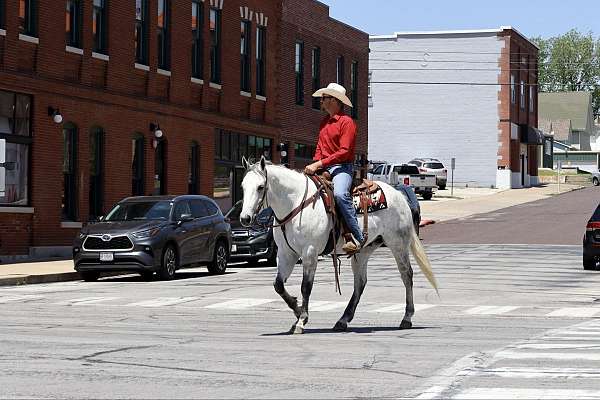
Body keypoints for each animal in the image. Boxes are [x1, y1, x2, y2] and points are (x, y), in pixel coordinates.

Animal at [240, 157, 440, 334]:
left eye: (260, 187)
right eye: (242, 186)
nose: (245, 218)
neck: (296, 203)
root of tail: (399, 194)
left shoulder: (310, 252)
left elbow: (306, 287)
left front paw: (302, 320)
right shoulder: (286, 254)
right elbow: (278, 285)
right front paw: (296, 310)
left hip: (398, 244)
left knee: (407, 275)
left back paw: (406, 318)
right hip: (364, 250)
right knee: (360, 282)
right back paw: (343, 320)